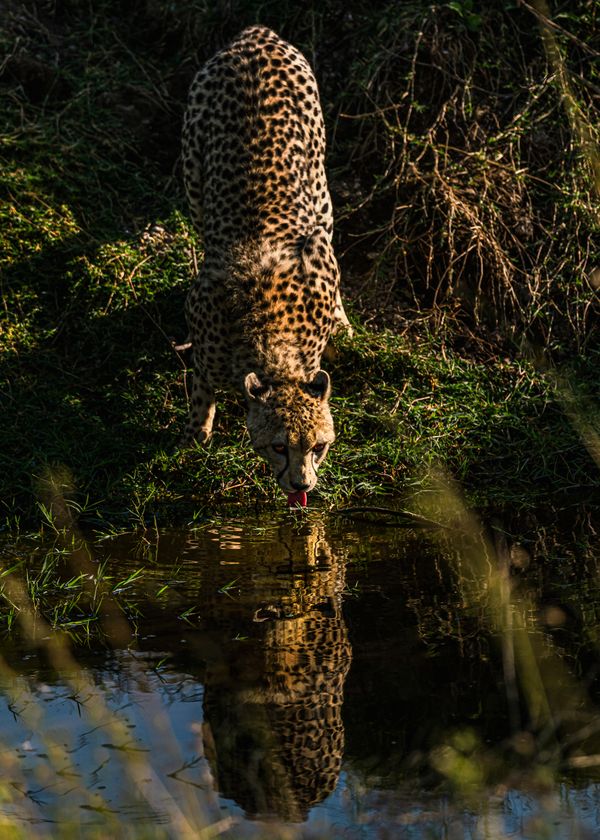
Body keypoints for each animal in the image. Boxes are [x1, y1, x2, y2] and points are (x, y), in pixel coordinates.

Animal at [182, 23, 352, 502]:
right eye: (278, 446)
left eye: (318, 447)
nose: (302, 485)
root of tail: (257, 35)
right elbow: (201, 384)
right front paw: (198, 430)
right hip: (194, 173)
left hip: (319, 186)